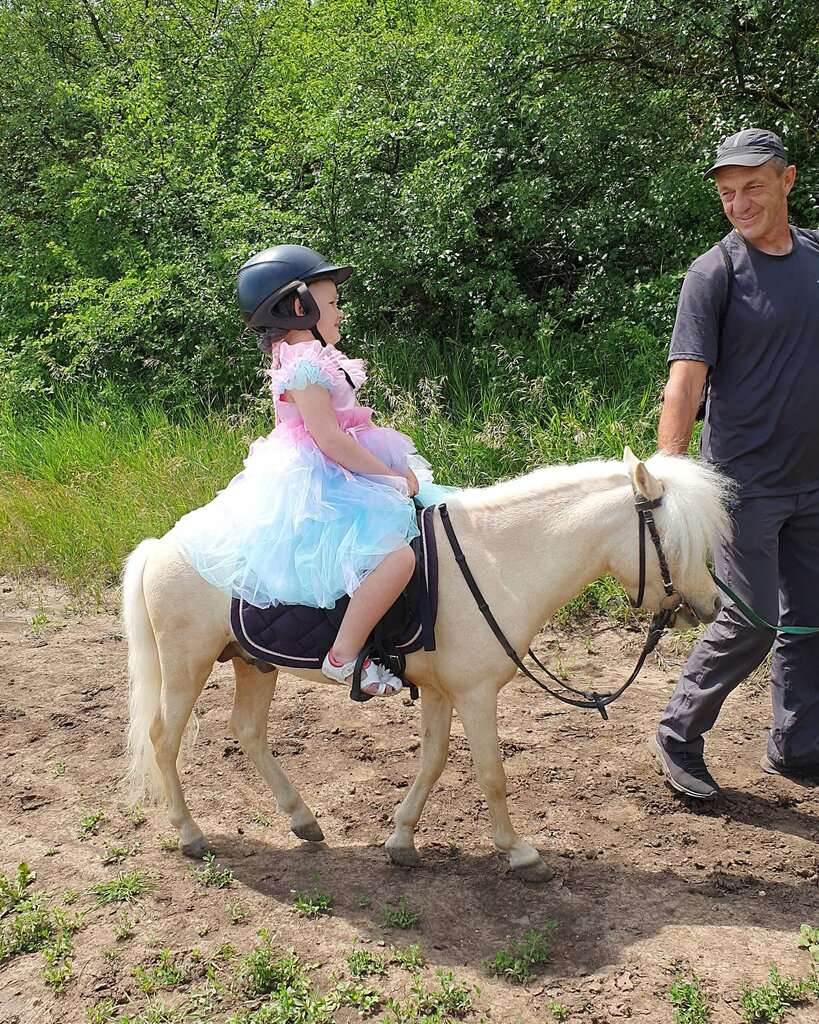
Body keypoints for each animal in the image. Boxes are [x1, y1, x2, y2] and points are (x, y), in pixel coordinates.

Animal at [122, 447, 731, 882]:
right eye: (673, 539)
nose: (711, 605)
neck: (497, 560)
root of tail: (160, 546)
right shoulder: (477, 693)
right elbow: (491, 773)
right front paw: (520, 853)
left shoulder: (441, 691)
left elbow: (434, 762)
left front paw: (402, 841)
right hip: (186, 664)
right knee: (163, 739)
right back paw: (190, 834)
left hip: (254, 662)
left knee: (247, 731)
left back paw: (303, 819)